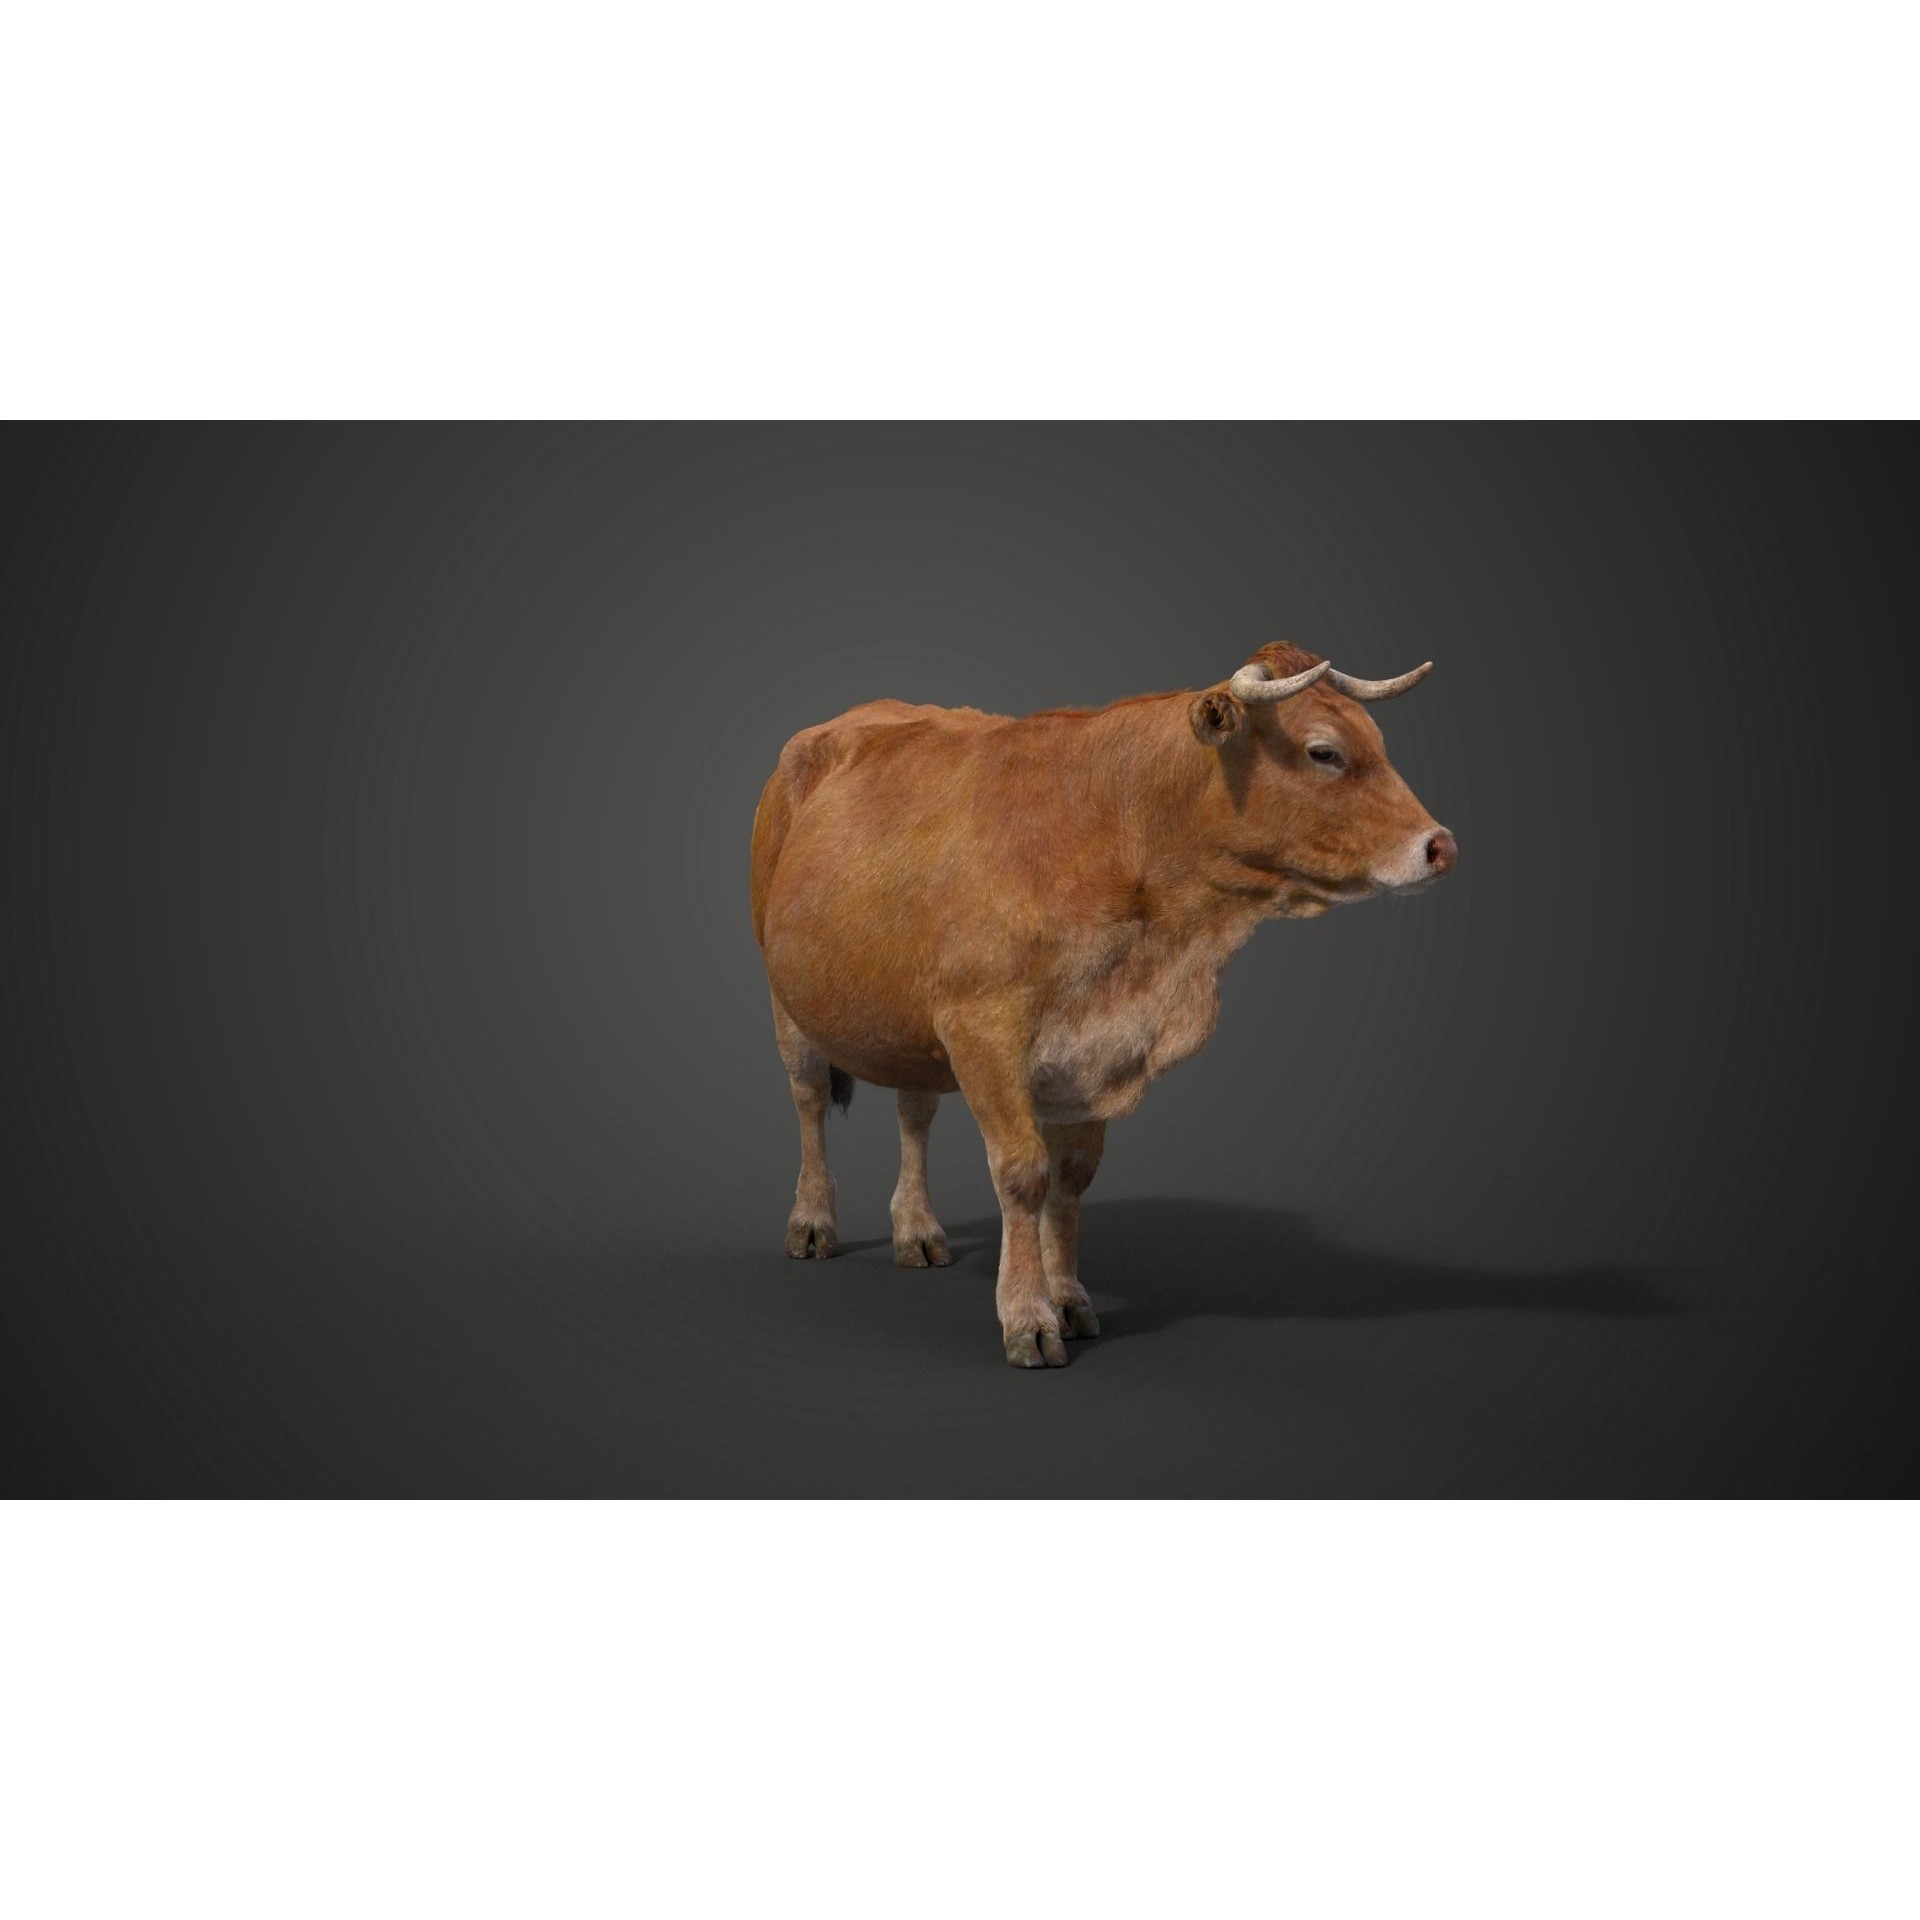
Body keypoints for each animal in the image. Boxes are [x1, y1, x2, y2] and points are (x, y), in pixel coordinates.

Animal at [748, 641, 1457, 1367]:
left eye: (1376, 740)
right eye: (1324, 752)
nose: (1440, 845)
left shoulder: (1095, 1046)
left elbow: (1072, 1177)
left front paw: (1067, 1300)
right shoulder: (982, 1026)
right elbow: (1023, 1172)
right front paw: (1027, 1317)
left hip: (906, 1020)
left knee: (913, 1111)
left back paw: (917, 1231)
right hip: (784, 992)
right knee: (808, 1098)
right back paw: (812, 1223)